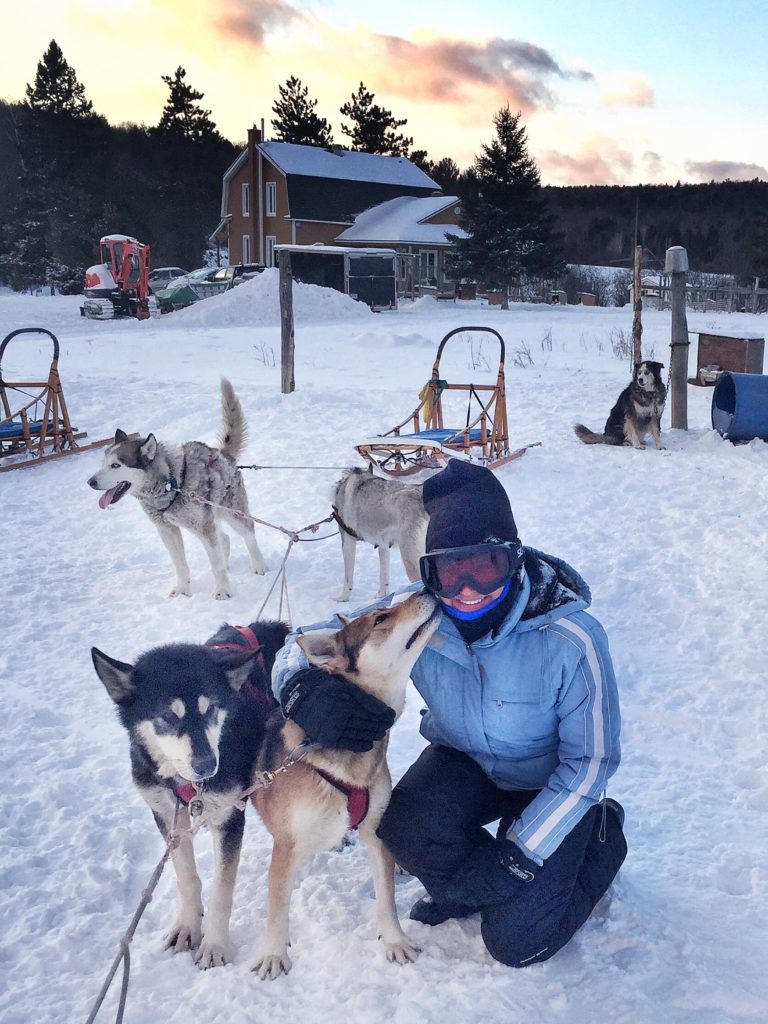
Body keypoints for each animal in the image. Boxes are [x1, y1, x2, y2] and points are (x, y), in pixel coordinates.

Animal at [87, 380, 266, 598]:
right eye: (103, 464)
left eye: (115, 465)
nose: (90, 482)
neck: (171, 483)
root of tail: (221, 453)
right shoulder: (167, 530)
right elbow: (180, 564)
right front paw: (182, 591)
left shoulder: (203, 528)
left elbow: (216, 566)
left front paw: (222, 591)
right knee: (223, 538)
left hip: (230, 514)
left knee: (248, 533)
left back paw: (259, 565)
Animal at [252, 593, 442, 983]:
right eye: (380, 618)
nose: (428, 591)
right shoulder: (286, 847)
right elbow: (277, 909)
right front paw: (273, 953)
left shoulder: (376, 831)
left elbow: (386, 900)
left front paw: (395, 941)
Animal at [331, 468, 428, 602]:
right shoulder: (383, 546)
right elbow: (384, 575)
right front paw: (382, 595)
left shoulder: (347, 541)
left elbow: (348, 577)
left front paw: (343, 597)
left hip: (410, 559)